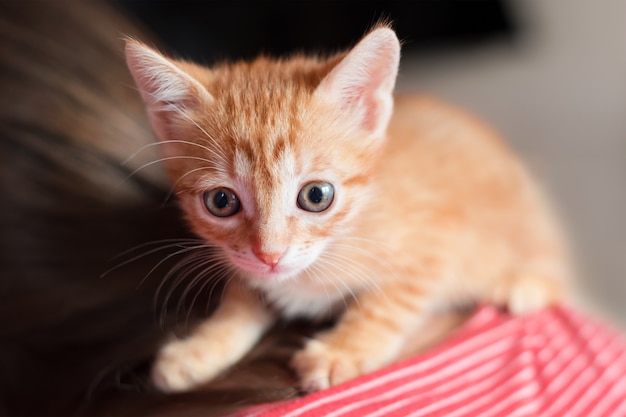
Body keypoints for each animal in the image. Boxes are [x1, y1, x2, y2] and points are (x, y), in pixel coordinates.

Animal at [124, 25, 568, 390]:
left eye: (316, 196)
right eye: (221, 201)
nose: (270, 255)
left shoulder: (440, 243)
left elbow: (388, 302)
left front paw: (342, 350)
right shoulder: (250, 268)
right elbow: (241, 299)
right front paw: (201, 347)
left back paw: (526, 282)